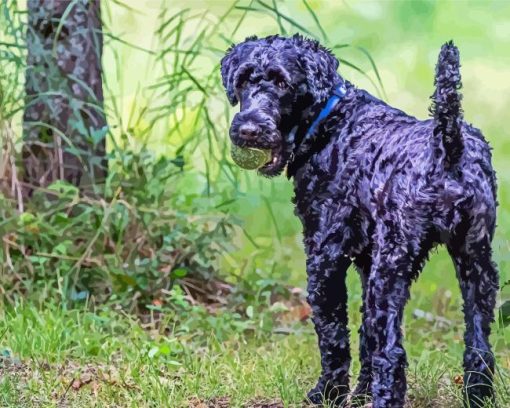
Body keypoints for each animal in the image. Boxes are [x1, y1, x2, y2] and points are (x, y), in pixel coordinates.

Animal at [220, 35, 498, 408]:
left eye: (282, 82)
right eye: (244, 79)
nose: (249, 130)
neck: (333, 121)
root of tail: (447, 149)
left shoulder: (325, 255)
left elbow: (333, 334)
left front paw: (329, 393)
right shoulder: (367, 258)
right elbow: (367, 332)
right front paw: (361, 391)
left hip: (392, 268)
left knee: (392, 352)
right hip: (476, 265)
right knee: (478, 347)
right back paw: (478, 396)